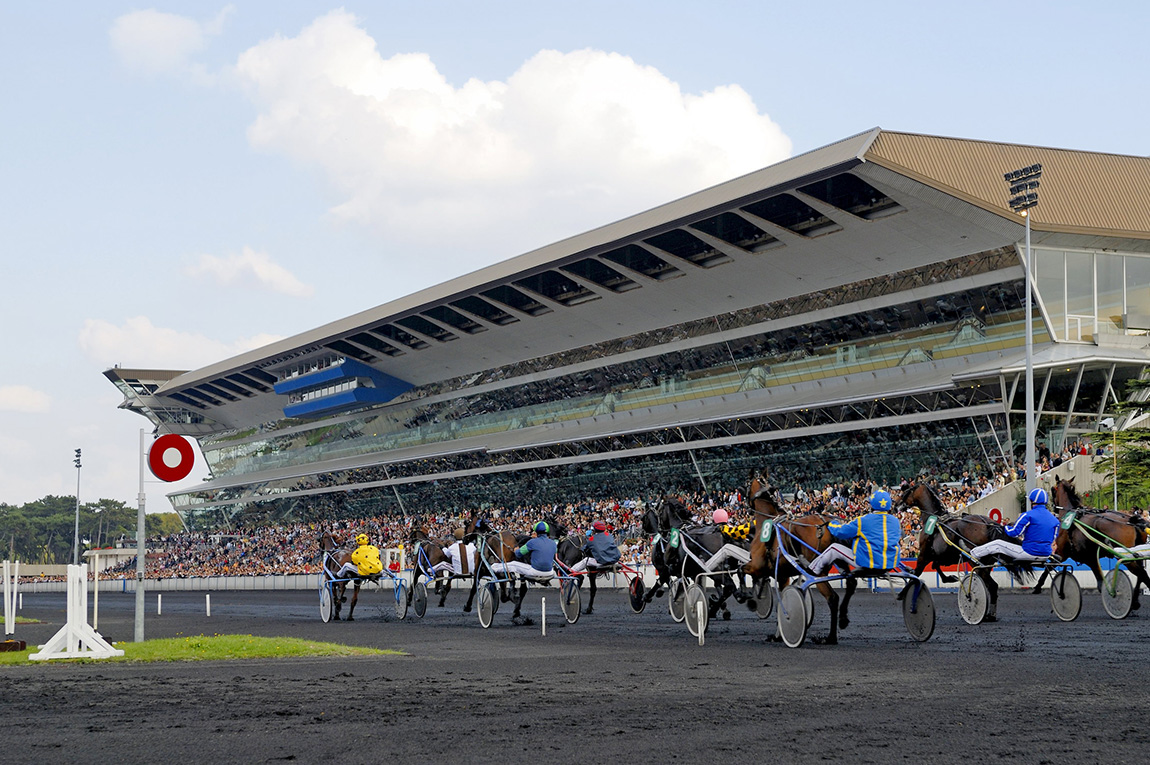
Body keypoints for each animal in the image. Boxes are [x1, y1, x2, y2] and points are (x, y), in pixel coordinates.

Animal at [897, 483, 1025, 621]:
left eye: (907, 490)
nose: (897, 504)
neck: (935, 520)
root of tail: (987, 523)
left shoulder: (924, 555)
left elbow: (917, 573)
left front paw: (902, 593)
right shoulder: (940, 555)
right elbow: (935, 566)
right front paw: (949, 578)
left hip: (975, 562)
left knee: (991, 585)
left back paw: (987, 613)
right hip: (985, 564)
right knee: (992, 586)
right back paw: (989, 615)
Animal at [1035, 478, 1150, 607]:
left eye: (1053, 490)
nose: (1053, 507)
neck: (1071, 516)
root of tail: (1132, 520)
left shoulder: (1067, 554)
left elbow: (1049, 566)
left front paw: (1038, 586)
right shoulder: (1089, 558)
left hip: (1126, 556)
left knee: (1142, 574)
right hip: (1136, 553)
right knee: (1142, 574)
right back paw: (1135, 600)